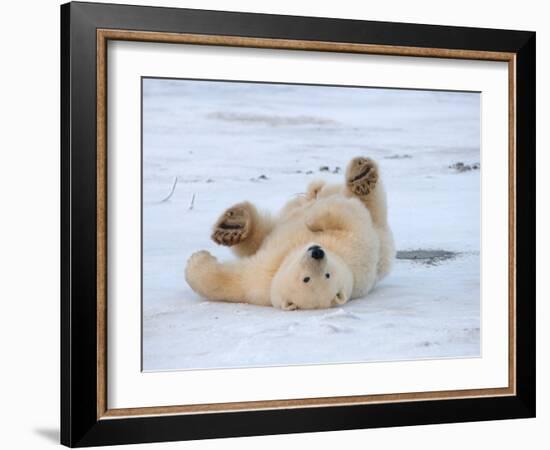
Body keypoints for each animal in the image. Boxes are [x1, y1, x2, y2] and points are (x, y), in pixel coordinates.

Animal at [187, 157, 396, 310]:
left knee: (369, 203)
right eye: (306, 278)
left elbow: (349, 215)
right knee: (263, 232)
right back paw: (233, 226)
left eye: (326, 275)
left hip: (380, 231)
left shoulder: (356, 247)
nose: (317, 252)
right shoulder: (262, 279)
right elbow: (231, 282)